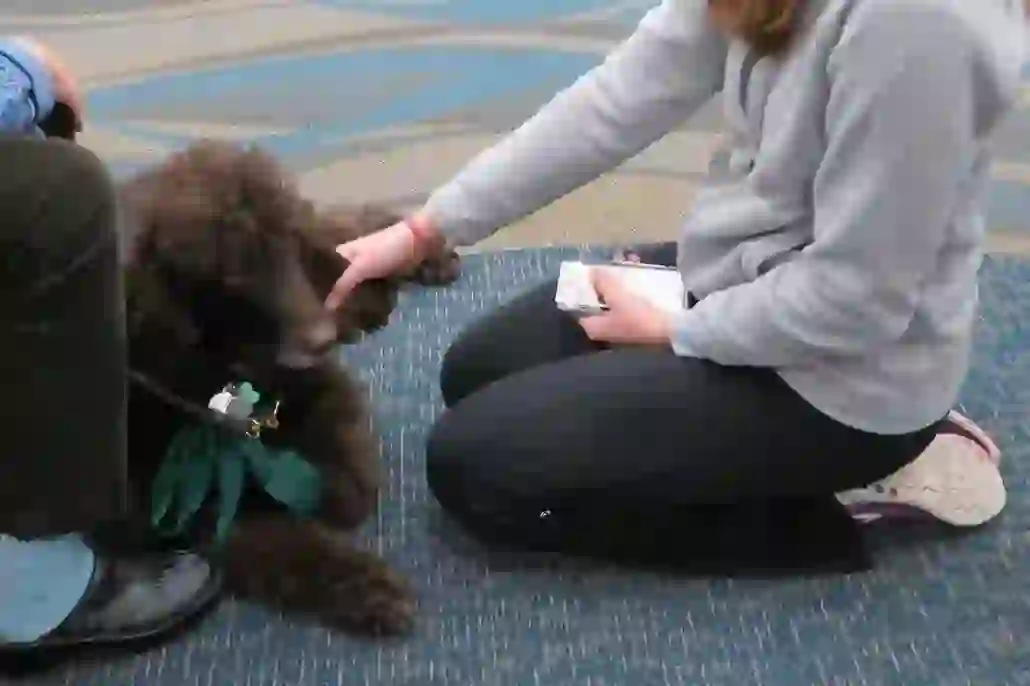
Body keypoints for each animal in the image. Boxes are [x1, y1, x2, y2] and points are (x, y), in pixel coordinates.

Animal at [116, 140, 459, 634]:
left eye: (284, 245)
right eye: (230, 273)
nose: (322, 337)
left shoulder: (323, 384)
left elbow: (346, 470)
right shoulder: (179, 503)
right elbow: (282, 541)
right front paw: (365, 585)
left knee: (344, 235)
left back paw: (418, 259)